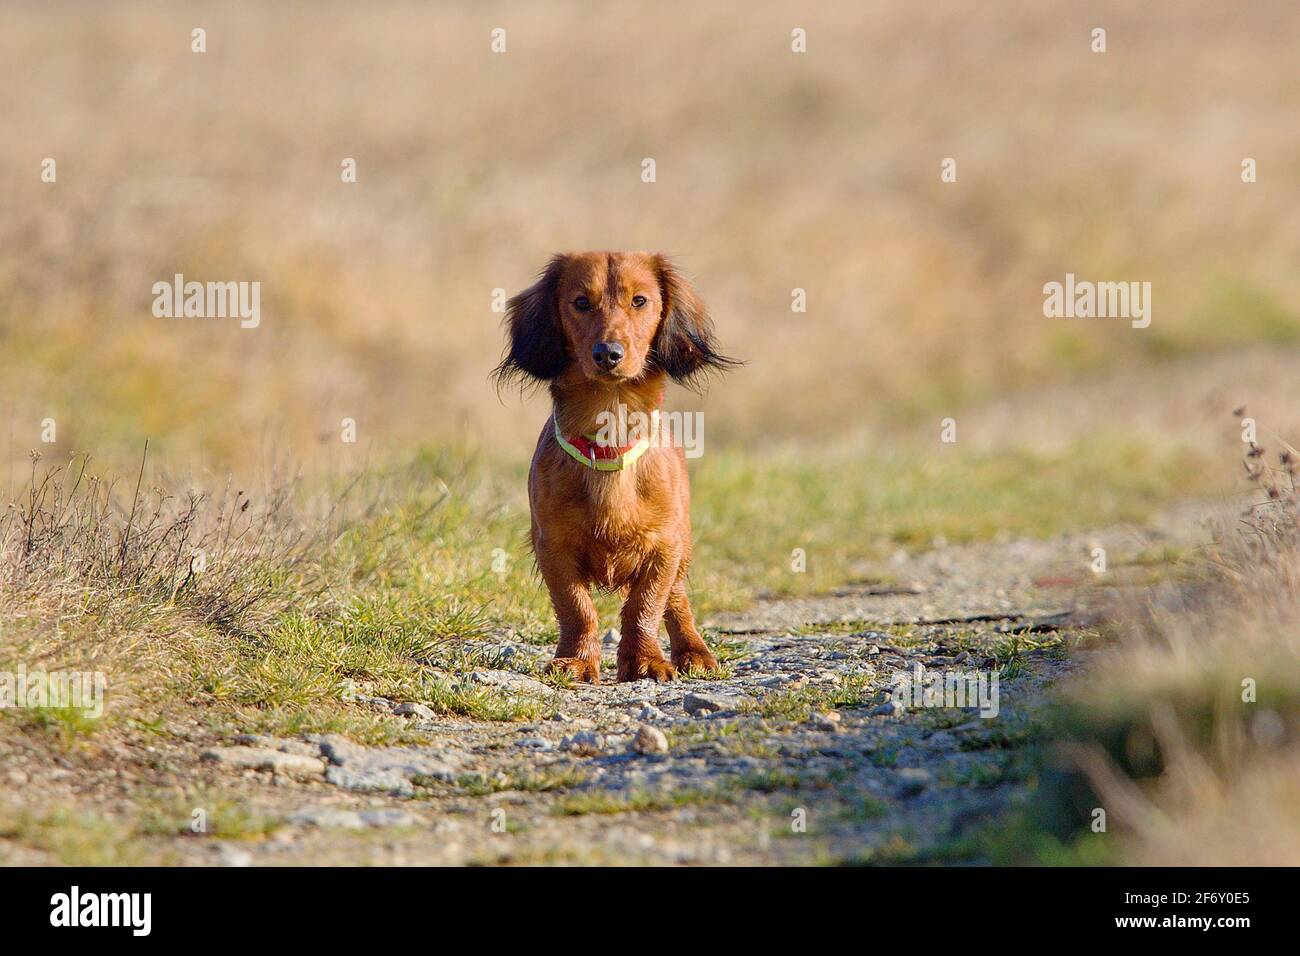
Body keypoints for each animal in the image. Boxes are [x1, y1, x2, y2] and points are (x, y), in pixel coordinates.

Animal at [496, 254, 738, 686]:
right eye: (580, 302)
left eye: (639, 300)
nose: (608, 353)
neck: (609, 444)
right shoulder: (553, 547)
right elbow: (577, 608)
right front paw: (576, 661)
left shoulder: (663, 548)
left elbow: (646, 605)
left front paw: (646, 661)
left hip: (683, 544)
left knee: (677, 600)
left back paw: (694, 652)